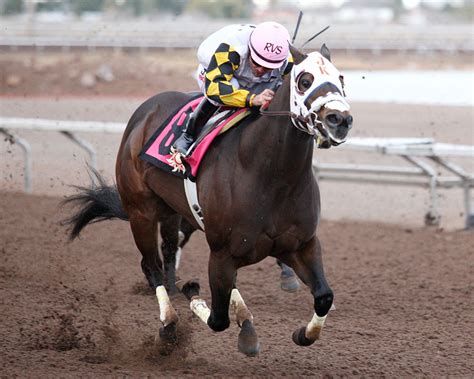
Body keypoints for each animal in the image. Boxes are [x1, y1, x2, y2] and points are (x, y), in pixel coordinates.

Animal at [64, 44, 352, 356]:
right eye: (304, 81)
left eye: (341, 78)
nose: (340, 120)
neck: (271, 175)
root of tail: (145, 110)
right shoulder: (222, 251)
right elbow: (217, 318)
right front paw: (193, 293)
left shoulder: (301, 245)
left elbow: (324, 296)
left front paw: (301, 333)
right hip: (141, 212)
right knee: (151, 265)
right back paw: (169, 323)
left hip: (172, 212)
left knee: (168, 252)